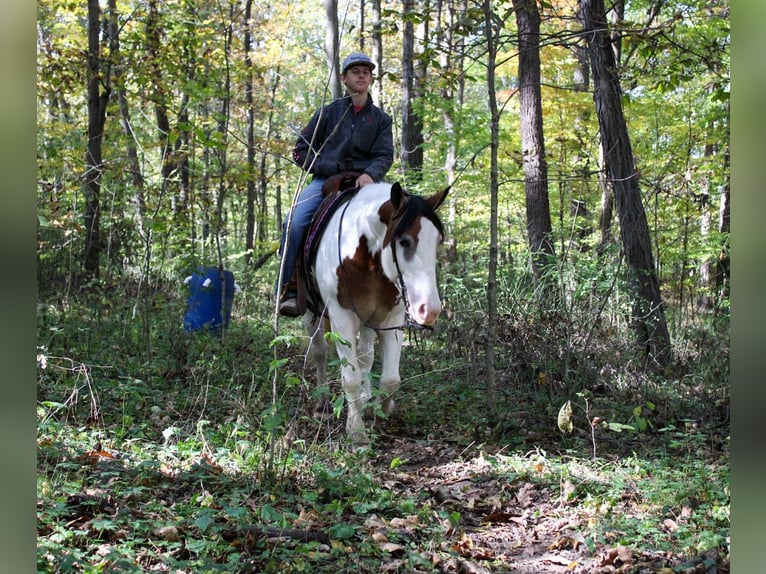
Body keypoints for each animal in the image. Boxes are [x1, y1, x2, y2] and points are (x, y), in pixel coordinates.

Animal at [300, 174, 450, 446]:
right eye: (404, 241)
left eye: (437, 241)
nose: (429, 310)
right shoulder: (342, 319)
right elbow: (349, 378)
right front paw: (356, 432)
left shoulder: (391, 320)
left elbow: (390, 379)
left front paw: (380, 411)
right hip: (311, 314)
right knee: (320, 352)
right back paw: (323, 404)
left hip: (370, 320)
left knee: (366, 356)